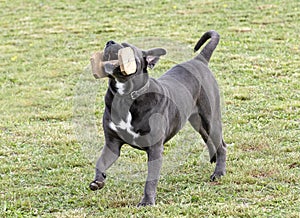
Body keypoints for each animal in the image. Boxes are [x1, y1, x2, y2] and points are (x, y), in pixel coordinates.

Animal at [89, 30, 227, 206]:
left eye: (127, 46)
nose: (109, 42)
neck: (125, 96)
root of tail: (199, 60)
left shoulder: (155, 148)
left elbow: (151, 179)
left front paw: (147, 201)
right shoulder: (112, 144)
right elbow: (100, 162)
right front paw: (98, 181)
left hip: (211, 118)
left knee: (221, 145)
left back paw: (219, 172)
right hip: (198, 121)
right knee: (209, 138)